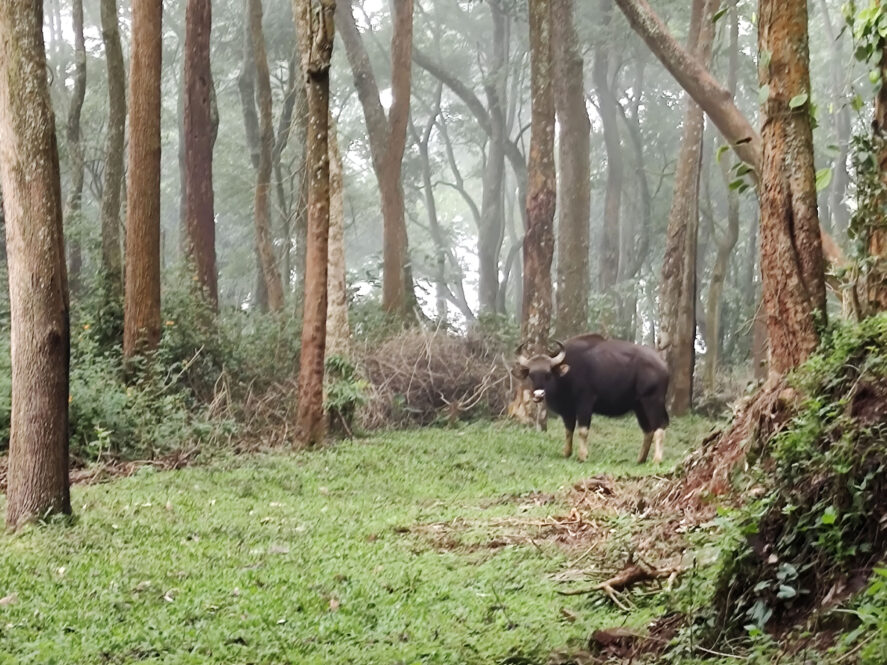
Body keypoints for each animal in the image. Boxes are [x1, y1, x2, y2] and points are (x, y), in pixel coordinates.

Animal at [512, 334, 672, 464]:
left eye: (547, 374)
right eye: (531, 375)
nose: (538, 395)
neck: (566, 377)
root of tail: (663, 366)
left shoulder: (585, 404)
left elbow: (583, 430)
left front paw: (583, 455)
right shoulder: (567, 411)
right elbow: (568, 430)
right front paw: (567, 452)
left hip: (653, 401)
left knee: (659, 426)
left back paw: (657, 459)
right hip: (639, 406)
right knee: (648, 430)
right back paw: (640, 459)